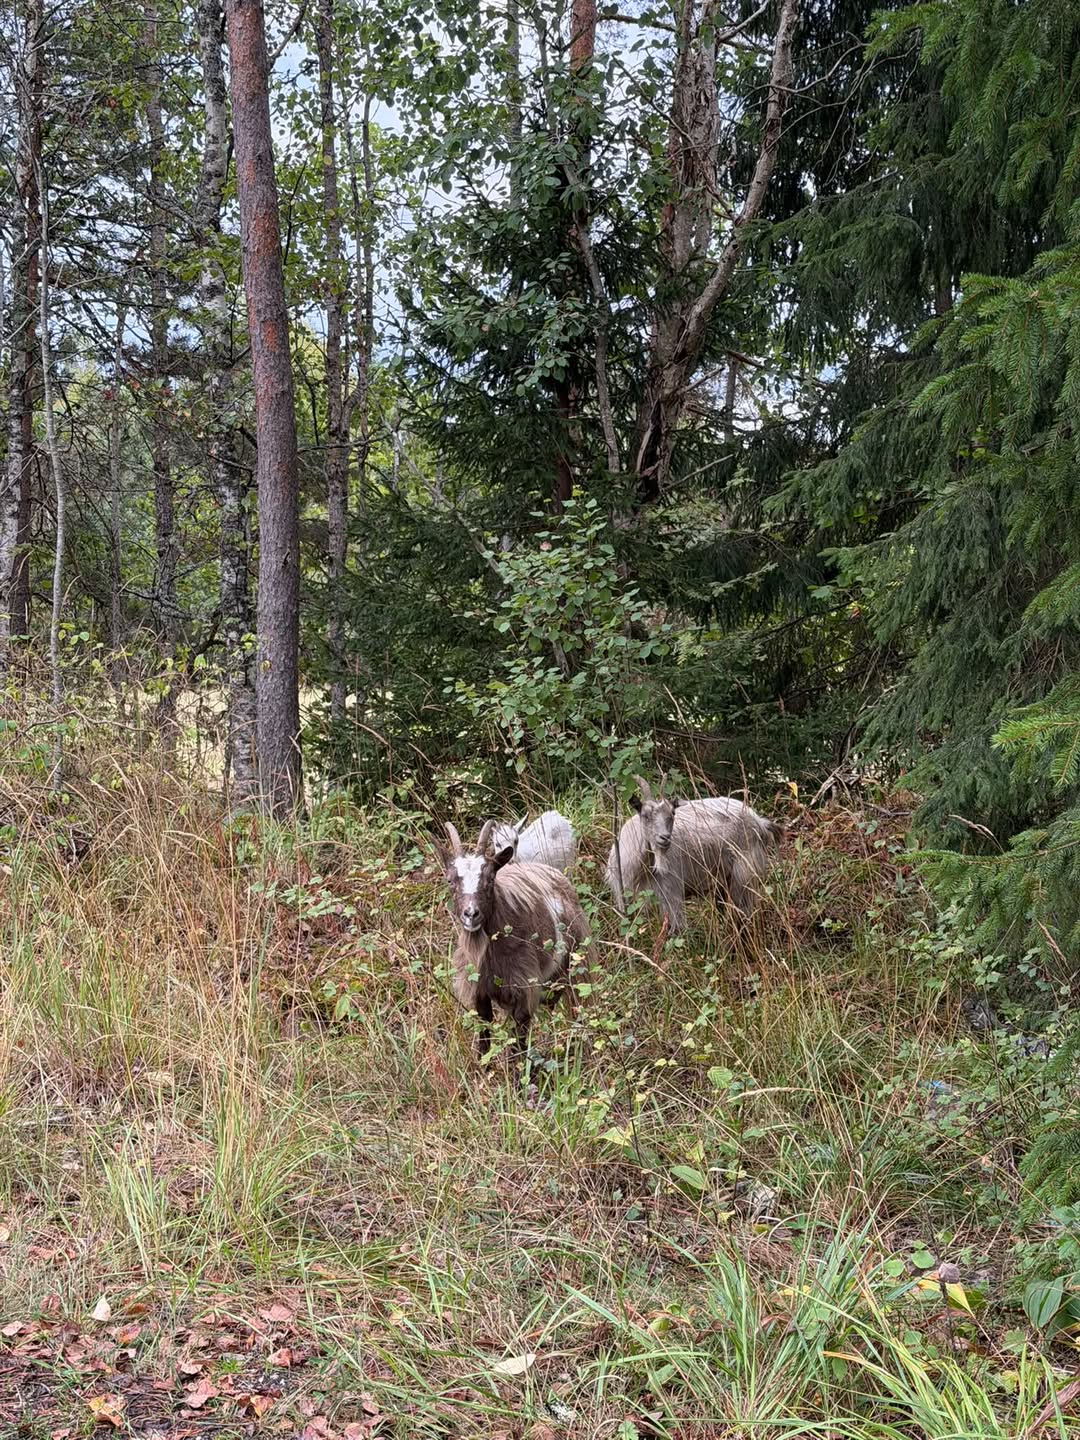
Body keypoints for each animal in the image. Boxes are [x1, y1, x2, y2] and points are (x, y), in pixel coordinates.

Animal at [436, 820, 590, 1057]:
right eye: (450, 880)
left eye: (490, 879)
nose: (471, 914)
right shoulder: (479, 991)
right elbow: (484, 1035)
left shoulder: (524, 990)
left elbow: (518, 1043)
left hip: (574, 965)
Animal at [604, 776, 781, 934]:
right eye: (645, 815)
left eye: (673, 813)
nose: (664, 838)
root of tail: (760, 822)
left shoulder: (671, 893)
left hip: (743, 876)